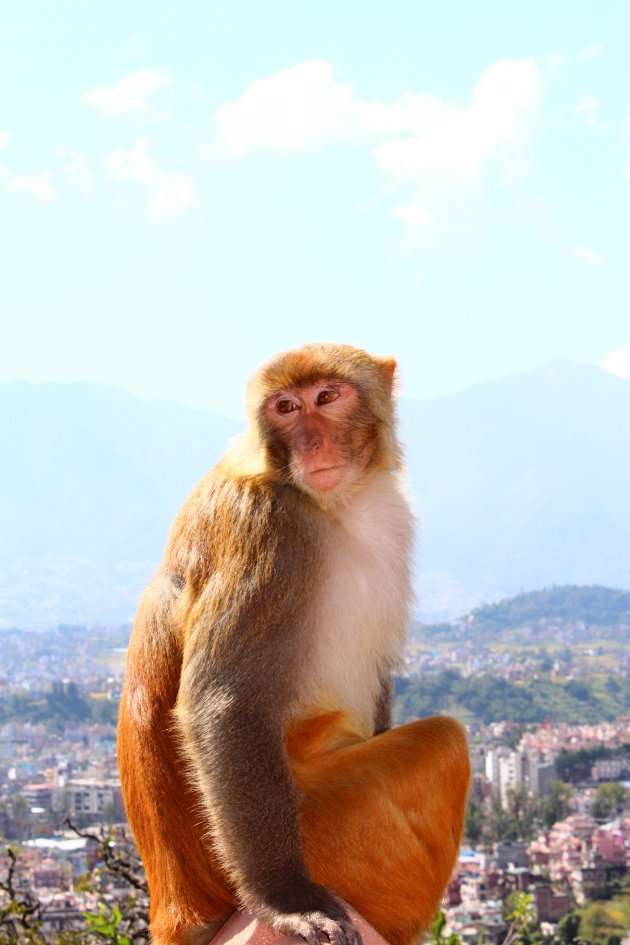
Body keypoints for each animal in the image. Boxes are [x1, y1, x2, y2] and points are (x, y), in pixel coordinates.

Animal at [118, 342, 472, 944]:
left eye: (327, 397)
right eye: (286, 408)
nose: (311, 442)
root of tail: (177, 908)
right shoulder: (271, 531)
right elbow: (226, 706)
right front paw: (285, 899)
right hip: (333, 832)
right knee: (445, 741)